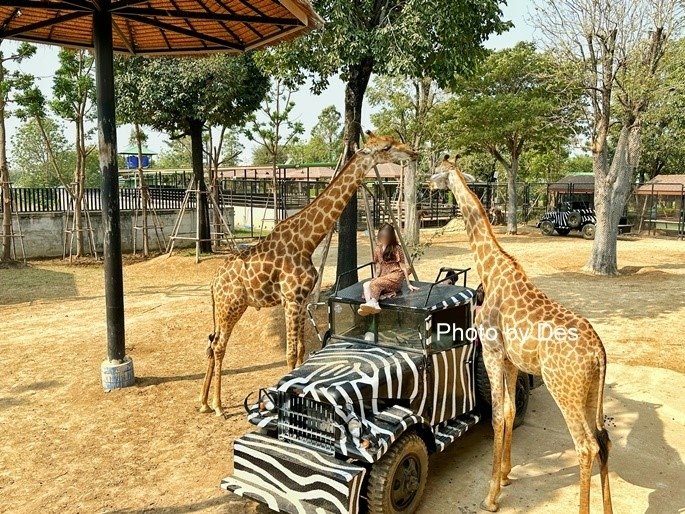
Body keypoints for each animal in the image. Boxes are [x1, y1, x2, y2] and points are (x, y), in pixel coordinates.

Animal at [198, 130, 416, 414]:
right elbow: (291, 352)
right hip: (231, 306)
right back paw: (217, 405)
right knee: (219, 345)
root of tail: (214, 282)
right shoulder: (290, 299)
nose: (413, 153)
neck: (307, 241)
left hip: (228, 307)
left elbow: (301, 350)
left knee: (211, 343)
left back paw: (203, 402)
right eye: (387, 147)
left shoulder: (301, 301)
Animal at [430, 156, 612, 512]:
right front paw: (506, 475)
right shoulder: (511, 359)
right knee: (604, 441)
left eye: (437, 170)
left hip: (564, 389)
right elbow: (512, 410)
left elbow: (498, 416)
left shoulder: (491, 351)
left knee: (586, 446)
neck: (490, 268)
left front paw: (491, 496)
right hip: (590, 393)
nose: (429, 186)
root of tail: (599, 352)